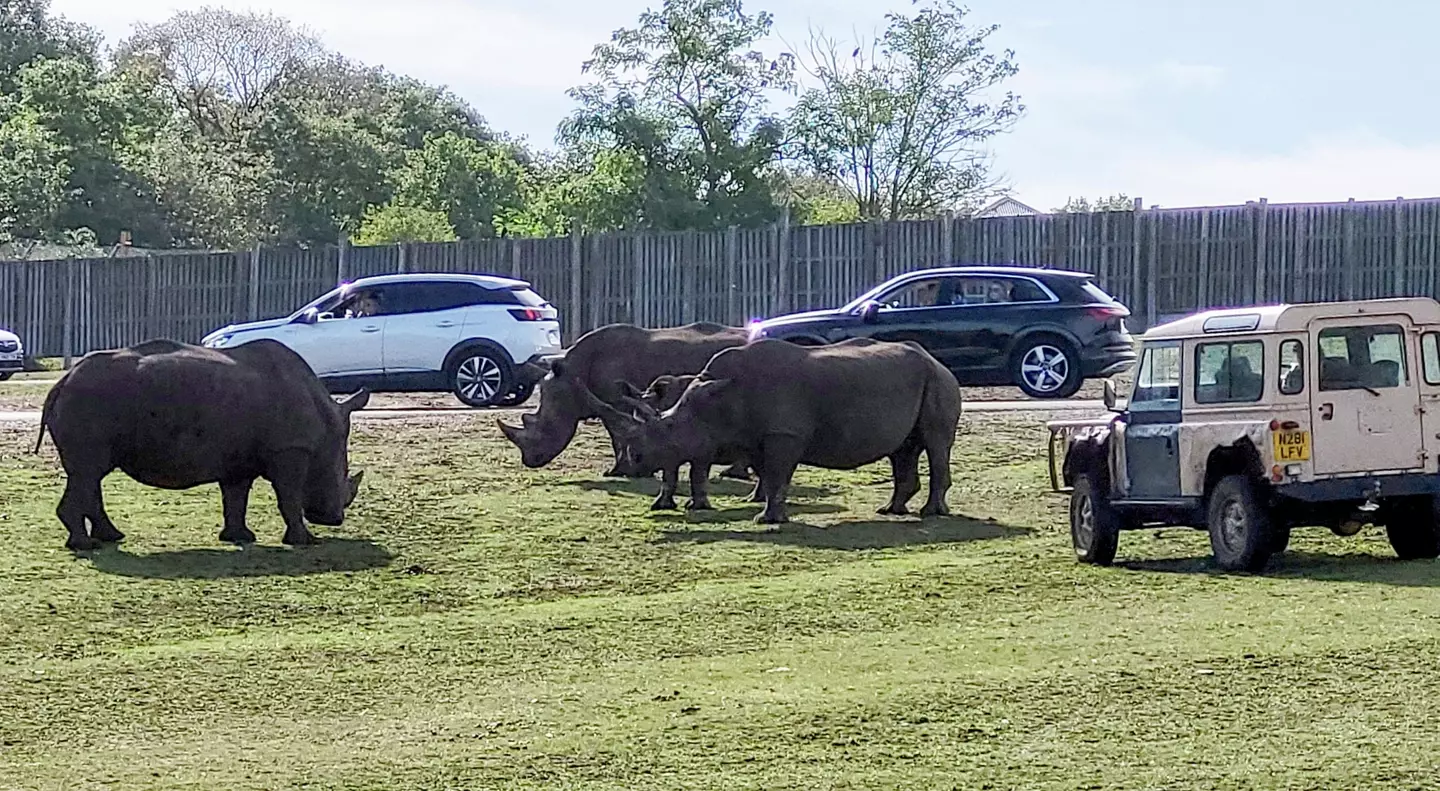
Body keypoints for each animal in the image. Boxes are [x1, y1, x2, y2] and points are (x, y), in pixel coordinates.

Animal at [33, 338, 369, 551]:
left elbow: (236, 497)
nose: (333, 520)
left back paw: (112, 537)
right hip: (89, 401)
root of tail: (61, 382)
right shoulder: (291, 449)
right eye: (340, 477)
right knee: (88, 472)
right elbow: (288, 496)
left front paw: (240, 538)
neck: (327, 423)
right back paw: (86, 546)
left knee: (89, 475)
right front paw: (305, 541)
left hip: (87, 401)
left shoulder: (239, 457)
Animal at [496, 321, 749, 475]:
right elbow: (617, 433)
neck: (572, 373)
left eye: (546, 426)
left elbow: (617, 433)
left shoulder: (616, 399)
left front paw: (621, 471)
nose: (530, 461)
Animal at [586, 337, 962, 523]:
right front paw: (768, 513)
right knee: (904, 449)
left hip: (939, 381)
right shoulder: (755, 437)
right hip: (923, 380)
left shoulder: (784, 434)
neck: (716, 400)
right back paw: (891, 511)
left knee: (935, 442)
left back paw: (930, 514)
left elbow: (779, 475)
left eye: (671, 428)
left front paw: (766, 521)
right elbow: (768, 476)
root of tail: (938, 360)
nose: (633, 463)